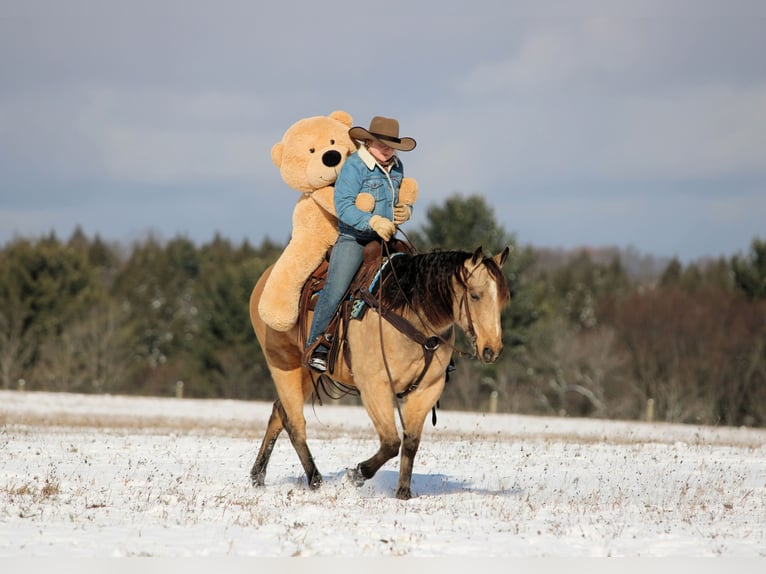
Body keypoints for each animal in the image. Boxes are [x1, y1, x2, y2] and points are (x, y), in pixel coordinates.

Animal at [248, 244, 511, 500]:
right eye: (475, 295)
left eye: (503, 300)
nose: (492, 349)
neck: (412, 315)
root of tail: (264, 280)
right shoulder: (375, 387)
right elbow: (391, 442)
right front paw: (356, 475)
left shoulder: (428, 389)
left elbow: (411, 441)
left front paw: (403, 493)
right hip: (284, 364)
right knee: (295, 423)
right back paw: (315, 481)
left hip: (308, 373)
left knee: (279, 412)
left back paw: (258, 476)